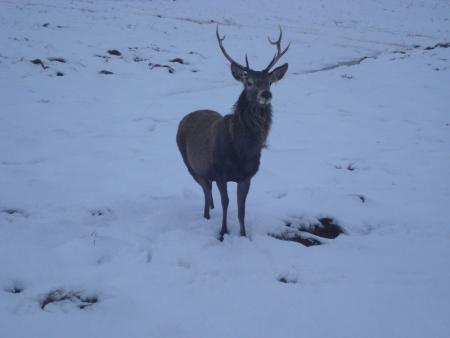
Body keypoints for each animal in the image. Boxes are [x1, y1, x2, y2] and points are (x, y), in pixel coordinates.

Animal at [176, 25, 288, 240]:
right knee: (205, 190)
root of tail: (186, 116)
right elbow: (226, 202)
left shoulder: (247, 176)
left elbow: (241, 207)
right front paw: (222, 232)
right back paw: (206, 215)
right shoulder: (220, 171)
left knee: (208, 191)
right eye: (249, 81)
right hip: (190, 165)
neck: (241, 151)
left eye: (269, 81)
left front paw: (243, 234)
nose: (266, 94)